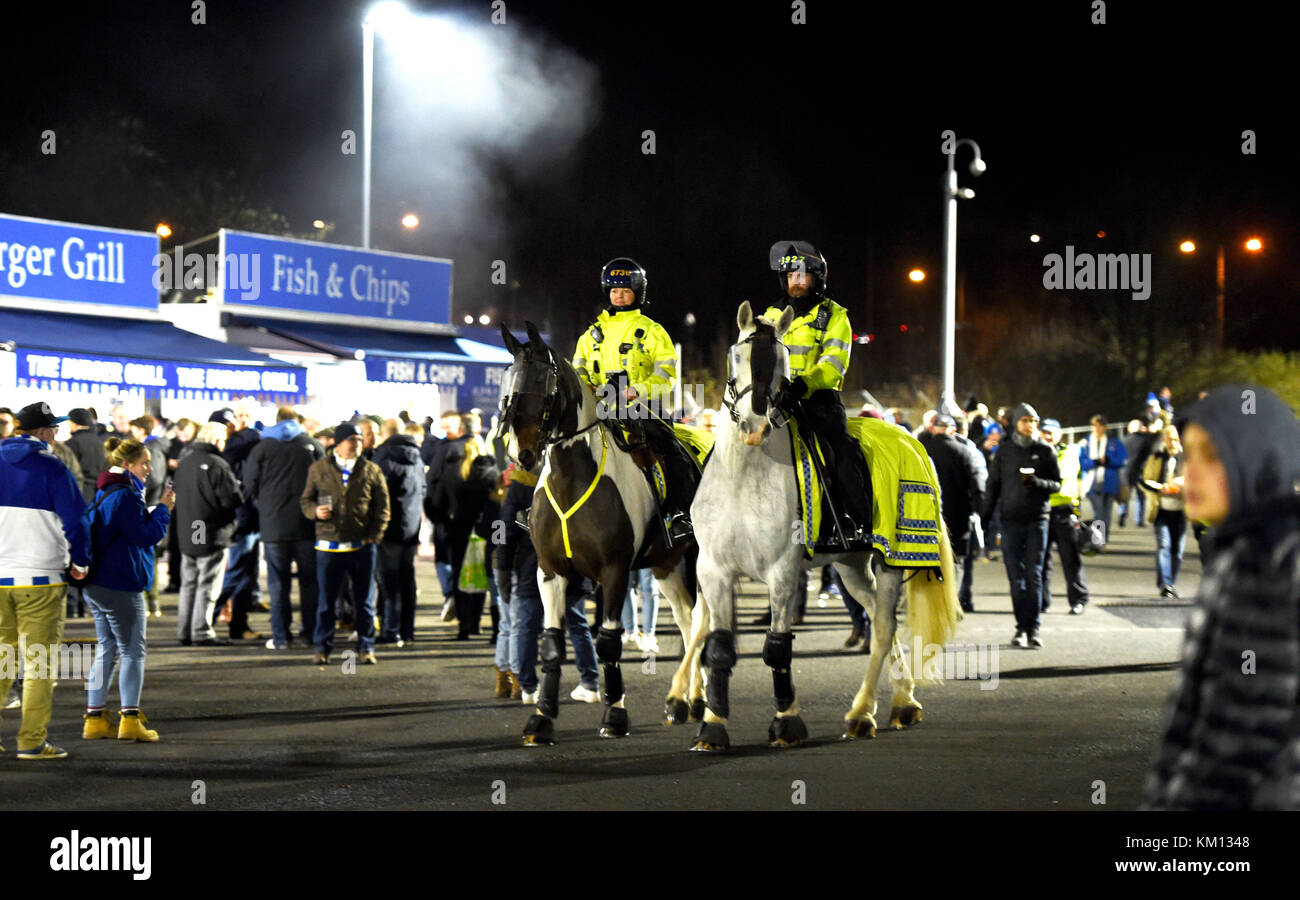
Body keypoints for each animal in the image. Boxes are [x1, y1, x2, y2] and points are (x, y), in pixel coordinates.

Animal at [496, 323, 707, 743]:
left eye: (542, 382)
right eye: (508, 381)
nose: (519, 452)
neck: (571, 478)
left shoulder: (614, 571)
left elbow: (608, 641)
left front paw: (615, 714)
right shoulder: (551, 572)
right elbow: (551, 643)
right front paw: (542, 719)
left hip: (694, 560)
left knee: (698, 620)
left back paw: (695, 700)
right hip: (667, 565)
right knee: (686, 618)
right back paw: (684, 701)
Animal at [691, 301, 967, 754]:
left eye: (782, 360)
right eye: (737, 356)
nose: (754, 427)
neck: (742, 478)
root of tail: (911, 439)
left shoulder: (782, 574)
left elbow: (777, 649)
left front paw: (787, 721)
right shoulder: (714, 572)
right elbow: (719, 650)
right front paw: (712, 727)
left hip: (891, 560)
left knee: (884, 627)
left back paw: (862, 713)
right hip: (851, 566)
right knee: (877, 618)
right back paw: (903, 702)